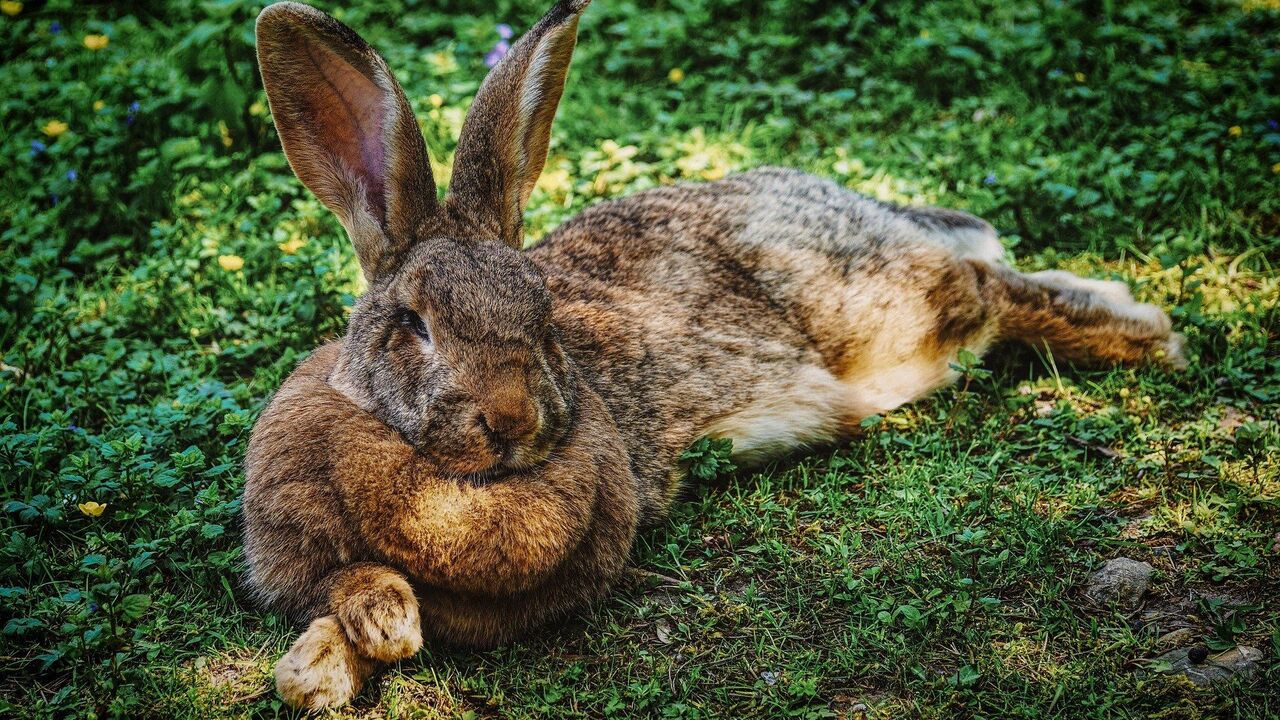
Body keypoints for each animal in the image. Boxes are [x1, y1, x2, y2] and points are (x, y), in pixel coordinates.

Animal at [244, 0, 1182, 707]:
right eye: (414, 324)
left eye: (542, 317)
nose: (511, 421)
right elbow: (345, 601)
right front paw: (324, 664)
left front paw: (340, 654)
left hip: (881, 309)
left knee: (989, 291)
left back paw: (1146, 334)